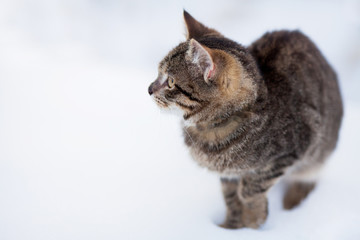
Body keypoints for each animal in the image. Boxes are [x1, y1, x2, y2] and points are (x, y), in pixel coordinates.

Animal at [147, 10, 344, 229]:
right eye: (158, 72)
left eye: (171, 82)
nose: (149, 89)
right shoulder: (228, 174)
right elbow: (231, 197)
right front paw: (231, 227)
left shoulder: (292, 149)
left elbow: (250, 189)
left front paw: (254, 220)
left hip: (317, 153)